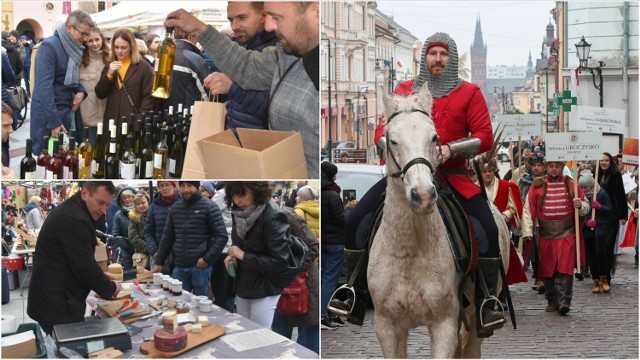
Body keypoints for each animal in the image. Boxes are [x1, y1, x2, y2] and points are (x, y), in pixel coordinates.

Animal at [364, 83, 510, 358]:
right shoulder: (387, 327)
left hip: (474, 316)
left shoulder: (444, 324)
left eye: (434, 138)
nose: (422, 195)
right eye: (393, 140)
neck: (409, 251)